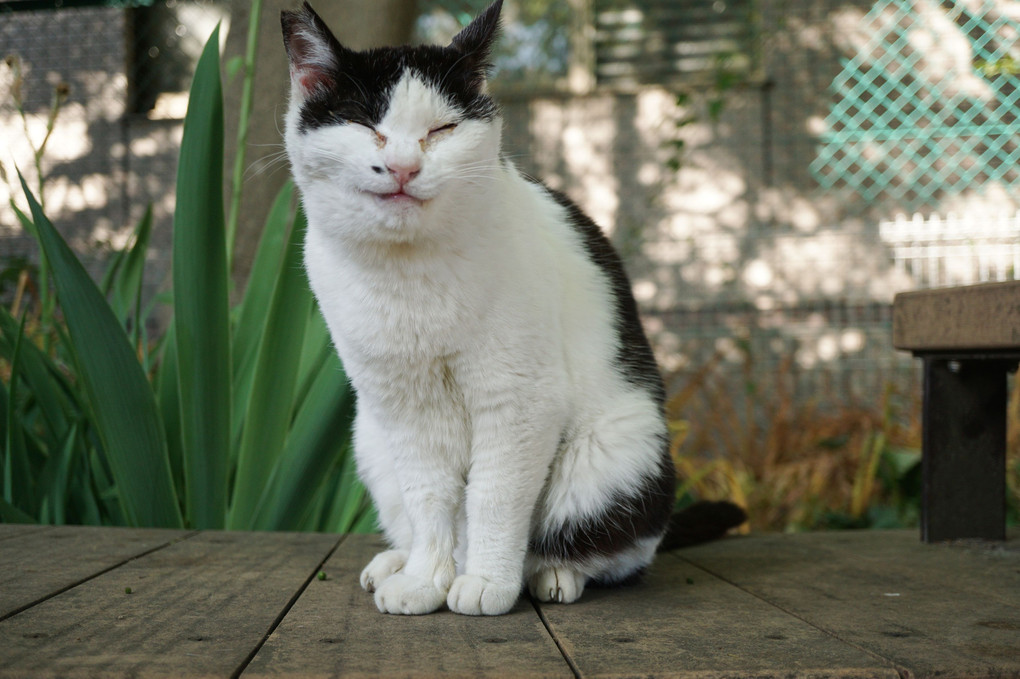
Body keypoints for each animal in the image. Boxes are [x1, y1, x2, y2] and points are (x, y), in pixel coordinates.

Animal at [283, 1, 746, 611]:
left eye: (443, 129)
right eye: (366, 127)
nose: (405, 167)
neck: (409, 273)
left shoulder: (519, 399)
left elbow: (494, 496)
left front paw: (485, 582)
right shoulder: (404, 407)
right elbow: (430, 495)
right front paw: (427, 580)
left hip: (617, 449)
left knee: (616, 551)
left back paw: (550, 574)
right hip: (371, 439)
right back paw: (400, 563)